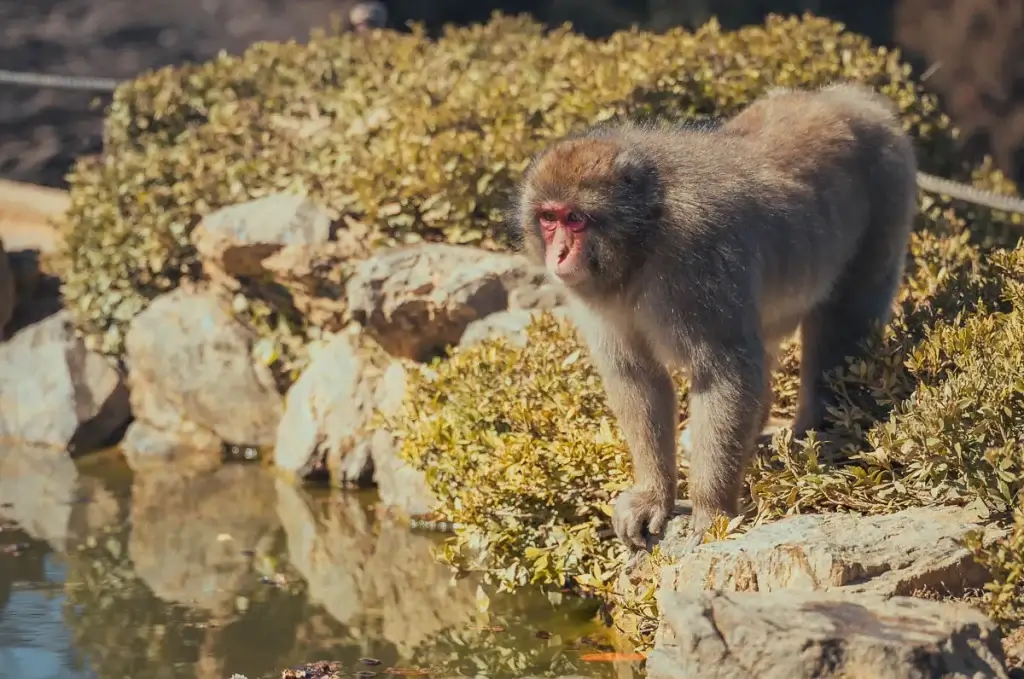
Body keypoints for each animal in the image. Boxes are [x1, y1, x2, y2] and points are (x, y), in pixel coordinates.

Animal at [508, 82, 920, 554]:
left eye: (575, 219)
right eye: (549, 217)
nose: (558, 254)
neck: (642, 245)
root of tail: (854, 100)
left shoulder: (699, 260)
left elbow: (725, 374)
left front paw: (712, 509)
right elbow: (638, 378)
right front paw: (653, 494)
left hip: (889, 196)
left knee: (840, 322)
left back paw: (819, 434)